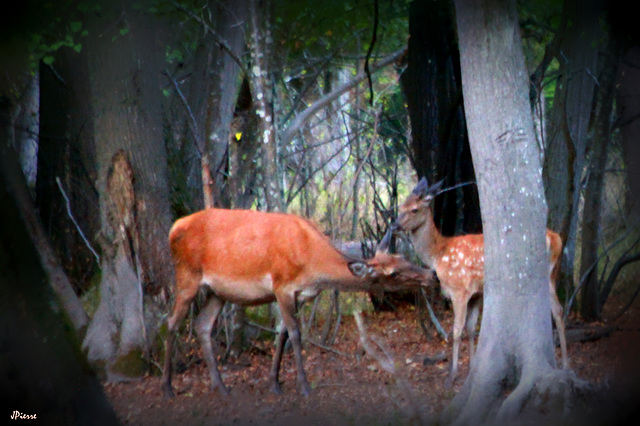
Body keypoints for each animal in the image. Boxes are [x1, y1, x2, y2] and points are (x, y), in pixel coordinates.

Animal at [161, 208, 436, 398]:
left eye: (402, 258)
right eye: (393, 274)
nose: (431, 275)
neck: (311, 265)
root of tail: (173, 228)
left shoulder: (300, 295)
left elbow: (282, 334)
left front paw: (274, 382)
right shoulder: (282, 286)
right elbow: (294, 333)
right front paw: (303, 385)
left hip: (218, 291)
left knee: (202, 324)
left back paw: (221, 386)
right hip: (187, 277)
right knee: (172, 321)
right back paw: (168, 387)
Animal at [396, 176, 568, 386]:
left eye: (414, 209)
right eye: (401, 206)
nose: (394, 226)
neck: (438, 255)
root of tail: (556, 238)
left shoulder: (459, 289)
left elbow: (456, 330)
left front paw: (452, 375)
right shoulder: (477, 292)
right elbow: (471, 329)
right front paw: (471, 369)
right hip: (551, 276)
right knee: (558, 310)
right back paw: (565, 365)